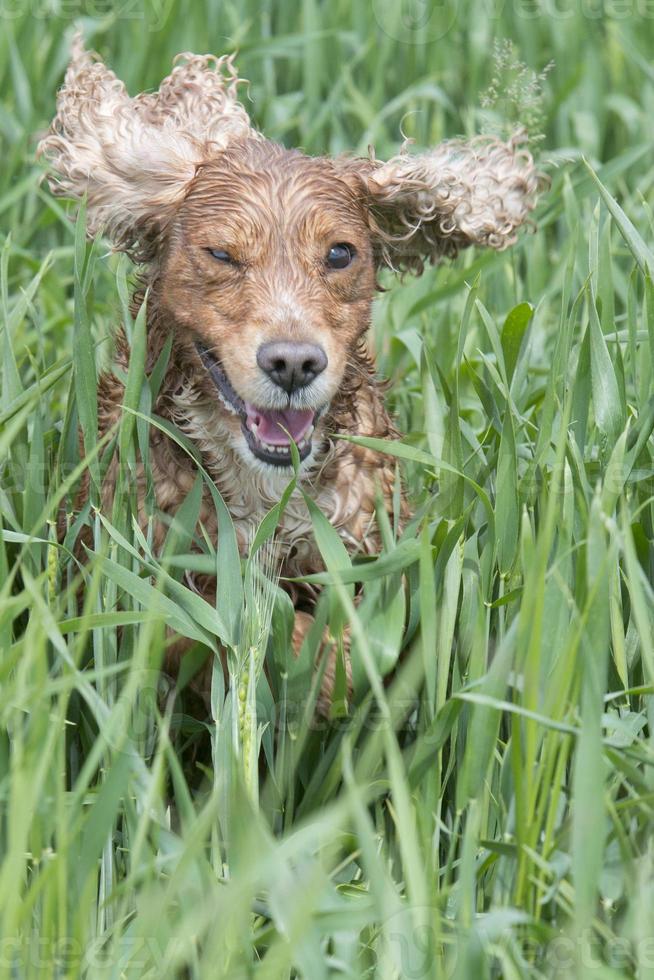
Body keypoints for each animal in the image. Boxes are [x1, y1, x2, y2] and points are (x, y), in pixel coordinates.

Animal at [39, 36, 540, 712]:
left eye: (340, 253)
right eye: (221, 254)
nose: (294, 363)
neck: (261, 492)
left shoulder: (368, 542)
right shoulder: (137, 573)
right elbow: (228, 634)